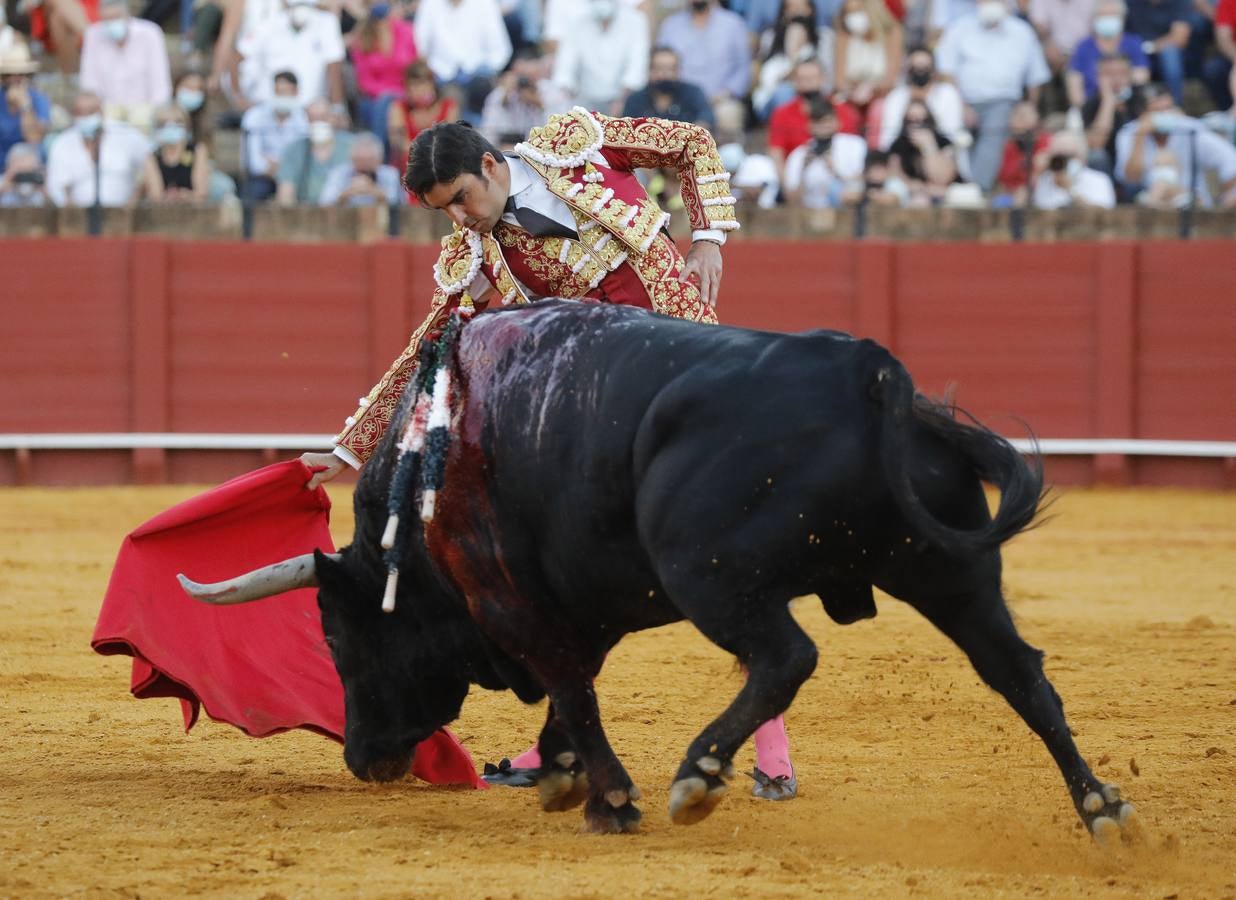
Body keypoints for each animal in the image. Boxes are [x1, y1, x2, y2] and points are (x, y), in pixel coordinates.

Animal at [180, 299, 1137, 840]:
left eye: (341, 641)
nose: (361, 760)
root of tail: (867, 371)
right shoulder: (578, 599)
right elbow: (573, 686)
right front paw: (560, 775)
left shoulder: (509, 597)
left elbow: (570, 685)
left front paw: (608, 799)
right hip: (948, 569)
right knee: (1019, 672)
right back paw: (1100, 806)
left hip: (707, 572)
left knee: (785, 657)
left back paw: (699, 775)